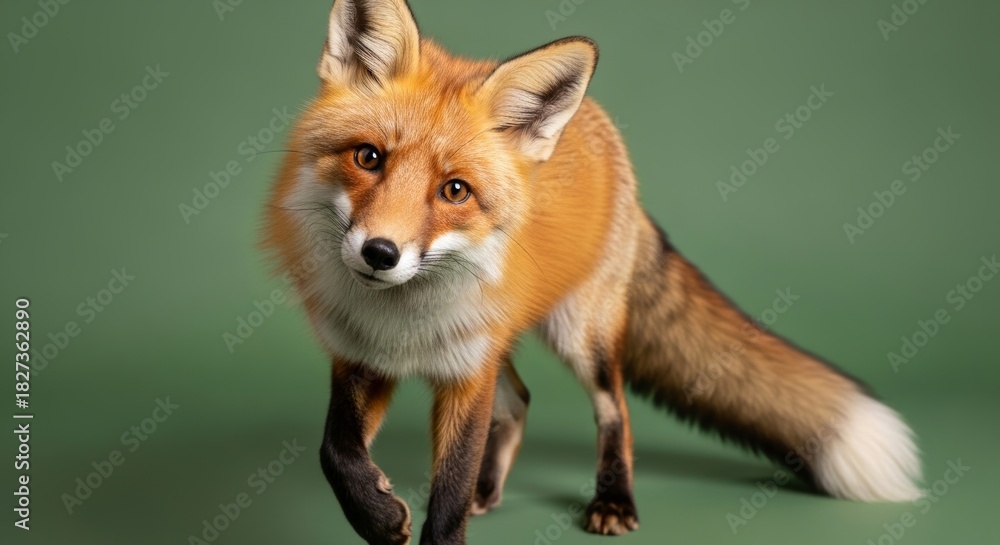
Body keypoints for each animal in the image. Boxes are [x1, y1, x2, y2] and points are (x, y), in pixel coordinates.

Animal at [262, 1, 923, 543]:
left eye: (455, 191)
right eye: (368, 157)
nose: (380, 253)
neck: (402, 321)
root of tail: (602, 129)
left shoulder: (467, 373)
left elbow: (447, 494)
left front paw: (432, 516)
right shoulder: (361, 358)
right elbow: (335, 451)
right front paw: (376, 517)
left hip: (581, 336)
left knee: (614, 411)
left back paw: (613, 502)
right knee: (521, 400)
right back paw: (489, 491)